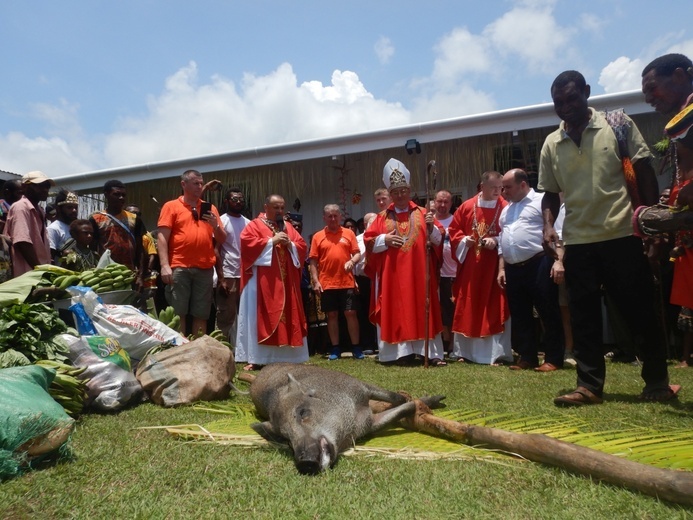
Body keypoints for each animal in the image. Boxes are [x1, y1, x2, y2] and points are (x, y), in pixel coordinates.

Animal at [249, 364, 444, 474]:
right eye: (286, 438)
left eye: (303, 412)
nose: (305, 463)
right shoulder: (370, 424)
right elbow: (404, 408)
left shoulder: (360, 386)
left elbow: (397, 398)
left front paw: (435, 401)